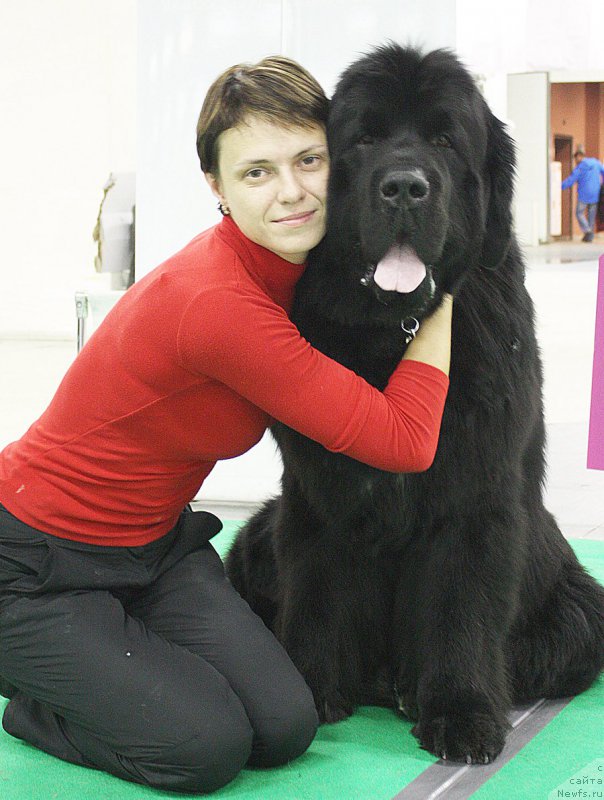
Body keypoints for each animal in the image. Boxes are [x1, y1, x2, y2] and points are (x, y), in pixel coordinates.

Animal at [226, 43, 604, 764]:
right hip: (257, 534)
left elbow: (461, 608)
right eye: (365, 139)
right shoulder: (318, 497)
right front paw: (311, 687)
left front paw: (461, 713)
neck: (395, 332)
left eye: (444, 141)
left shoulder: (474, 499)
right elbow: (316, 593)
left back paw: (407, 685)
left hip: (577, 607)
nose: (404, 186)